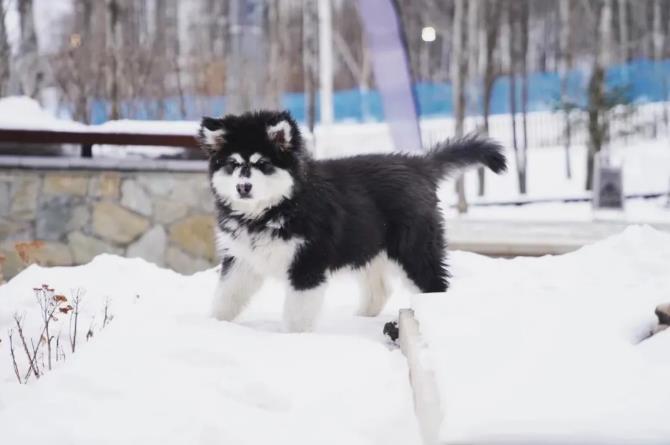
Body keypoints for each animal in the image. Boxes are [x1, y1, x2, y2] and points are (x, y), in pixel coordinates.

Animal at [202, 110, 506, 330]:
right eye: (233, 164)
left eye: (263, 164)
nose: (243, 187)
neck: (274, 210)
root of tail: (417, 164)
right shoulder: (241, 259)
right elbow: (225, 297)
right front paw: (214, 327)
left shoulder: (306, 265)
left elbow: (296, 316)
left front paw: (293, 341)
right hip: (367, 245)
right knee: (380, 289)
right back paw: (360, 319)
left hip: (413, 250)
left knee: (432, 284)